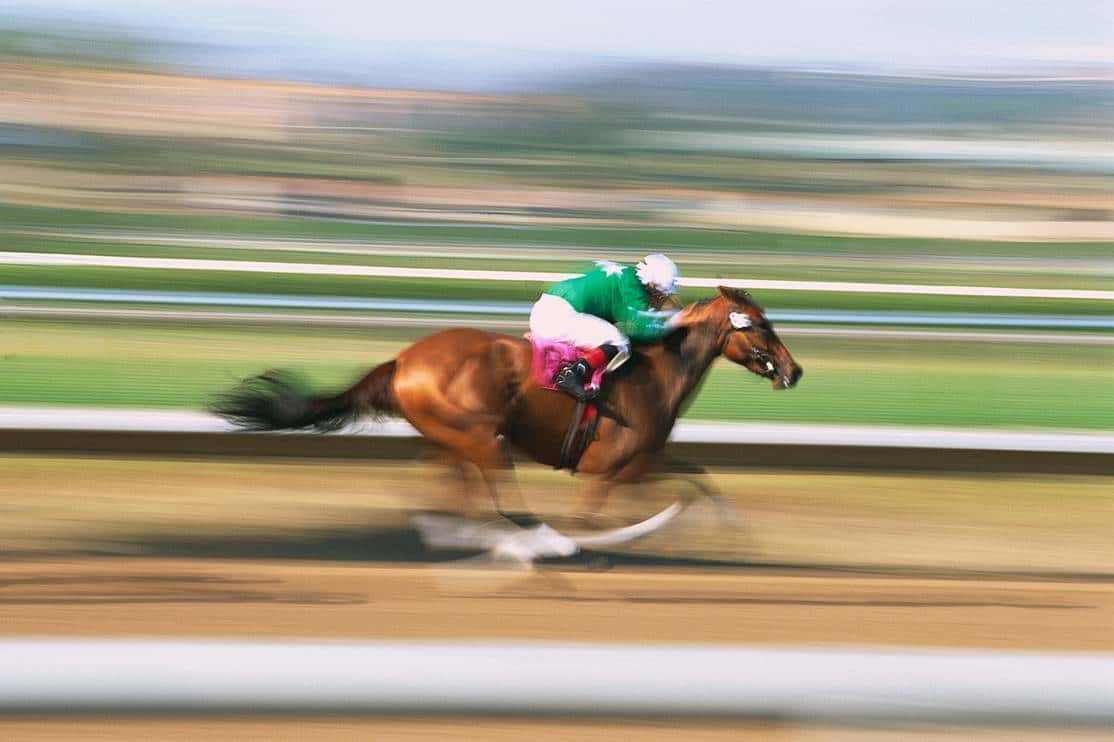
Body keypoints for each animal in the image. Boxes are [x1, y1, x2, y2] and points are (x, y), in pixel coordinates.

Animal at [214, 285, 803, 561]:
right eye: (763, 325)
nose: (794, 371)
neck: (656, 372)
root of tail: (403, 360)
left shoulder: (649, 457)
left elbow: (702, 479)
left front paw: (736, 537)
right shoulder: (616, 467)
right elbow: (606, 513)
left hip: (451, 440)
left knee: (447, 494)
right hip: (480, 438)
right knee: (503, 504)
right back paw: (540, 544)